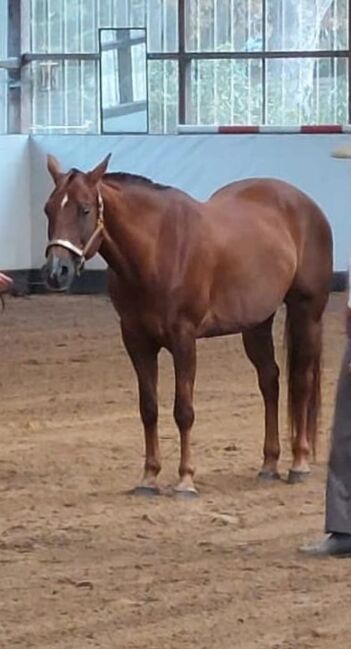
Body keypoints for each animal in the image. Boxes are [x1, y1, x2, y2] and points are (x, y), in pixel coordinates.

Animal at [43, 156, 332, 496]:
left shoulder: (184, 339)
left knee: (301, 381)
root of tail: (306, 204)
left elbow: (184, 410)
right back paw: (269, 465)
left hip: (306, 311)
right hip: (257, 323)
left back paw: (299, 463)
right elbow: (148, 408)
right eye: (48, 209)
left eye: (85, 209)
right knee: (270, 381)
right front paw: (149, 478)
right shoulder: (136, 341)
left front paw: (185, 480)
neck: (156, 250)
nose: (56, 272)